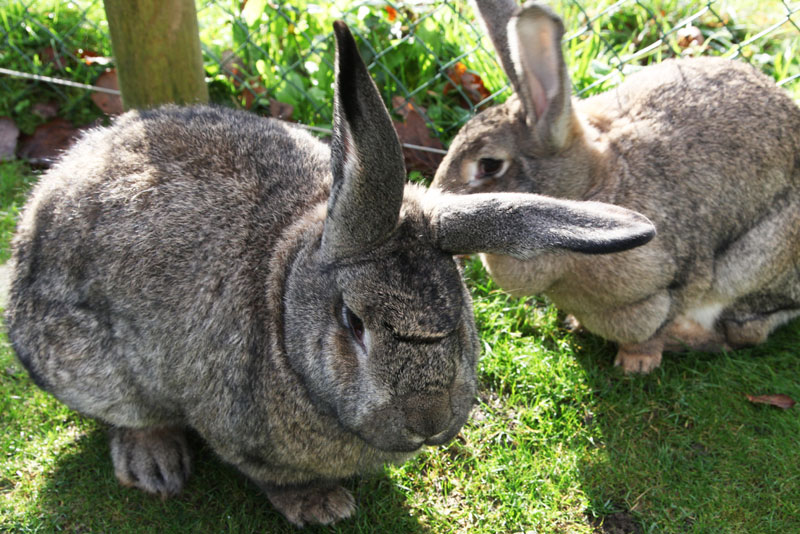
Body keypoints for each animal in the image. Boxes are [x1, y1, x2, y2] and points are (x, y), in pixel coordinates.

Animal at [3, 19, 656, 528]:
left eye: (461, 307)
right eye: (352, 321)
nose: (427, 420)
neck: (281, 298)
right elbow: (275, 478)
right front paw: (321, 505)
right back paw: (154, 464)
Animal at [432, 0, 800, 374]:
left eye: (489, 165)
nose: (437, 205)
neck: (590, 187)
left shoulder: (672, 279)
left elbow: (660, 319)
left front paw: (636, 363)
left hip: (754, 263)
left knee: (746, 329)